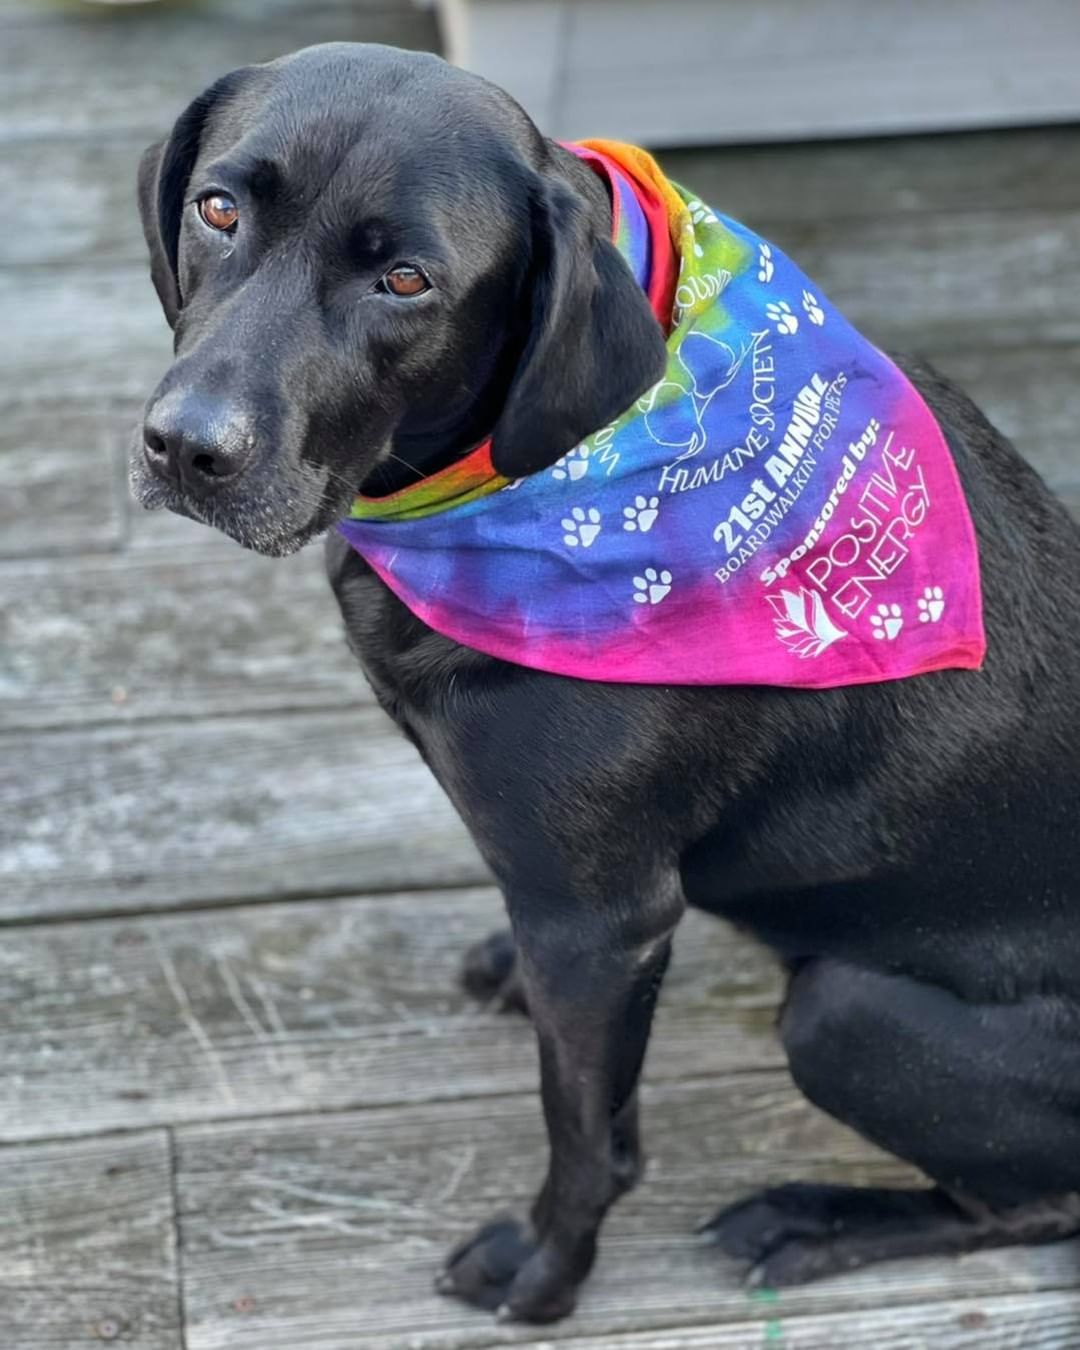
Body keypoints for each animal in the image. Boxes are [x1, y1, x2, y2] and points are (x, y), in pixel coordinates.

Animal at [132, 44, 1080, 1328]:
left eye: (406, 281)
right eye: (218, 209)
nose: (186, 447)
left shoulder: (599, 928)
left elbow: (587, 1133)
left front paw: (545, 1270)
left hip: (845, 1012)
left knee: (1031, 1205)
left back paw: (814, 1219)